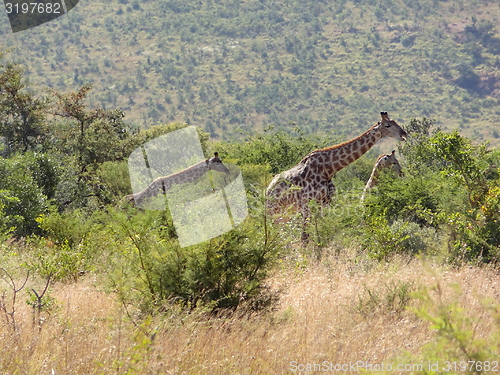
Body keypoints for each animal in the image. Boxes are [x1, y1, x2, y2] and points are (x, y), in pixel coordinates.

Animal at [266, 111, 406, 241]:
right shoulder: (307, 204)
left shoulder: (326, 202)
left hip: (285, 213)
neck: (328, 169)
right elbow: (305, 237)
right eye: (388, 125)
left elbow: (324, 230)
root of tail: (268, 190)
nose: (404, 134)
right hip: (274, 211)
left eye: (395, 122)